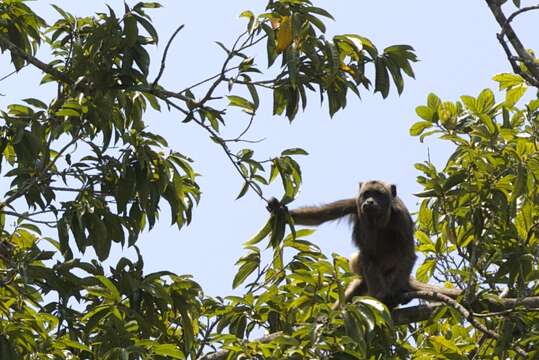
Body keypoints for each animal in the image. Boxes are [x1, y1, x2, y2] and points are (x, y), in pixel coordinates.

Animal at [270, 181, 418, 308]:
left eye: (378, 194)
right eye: (367, 194)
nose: (369, 201)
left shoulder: (401, 216)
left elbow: (408, 254)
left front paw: (395, 294)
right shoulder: (353, 203)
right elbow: (319, 216)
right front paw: (279, 210)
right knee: (365, 260)